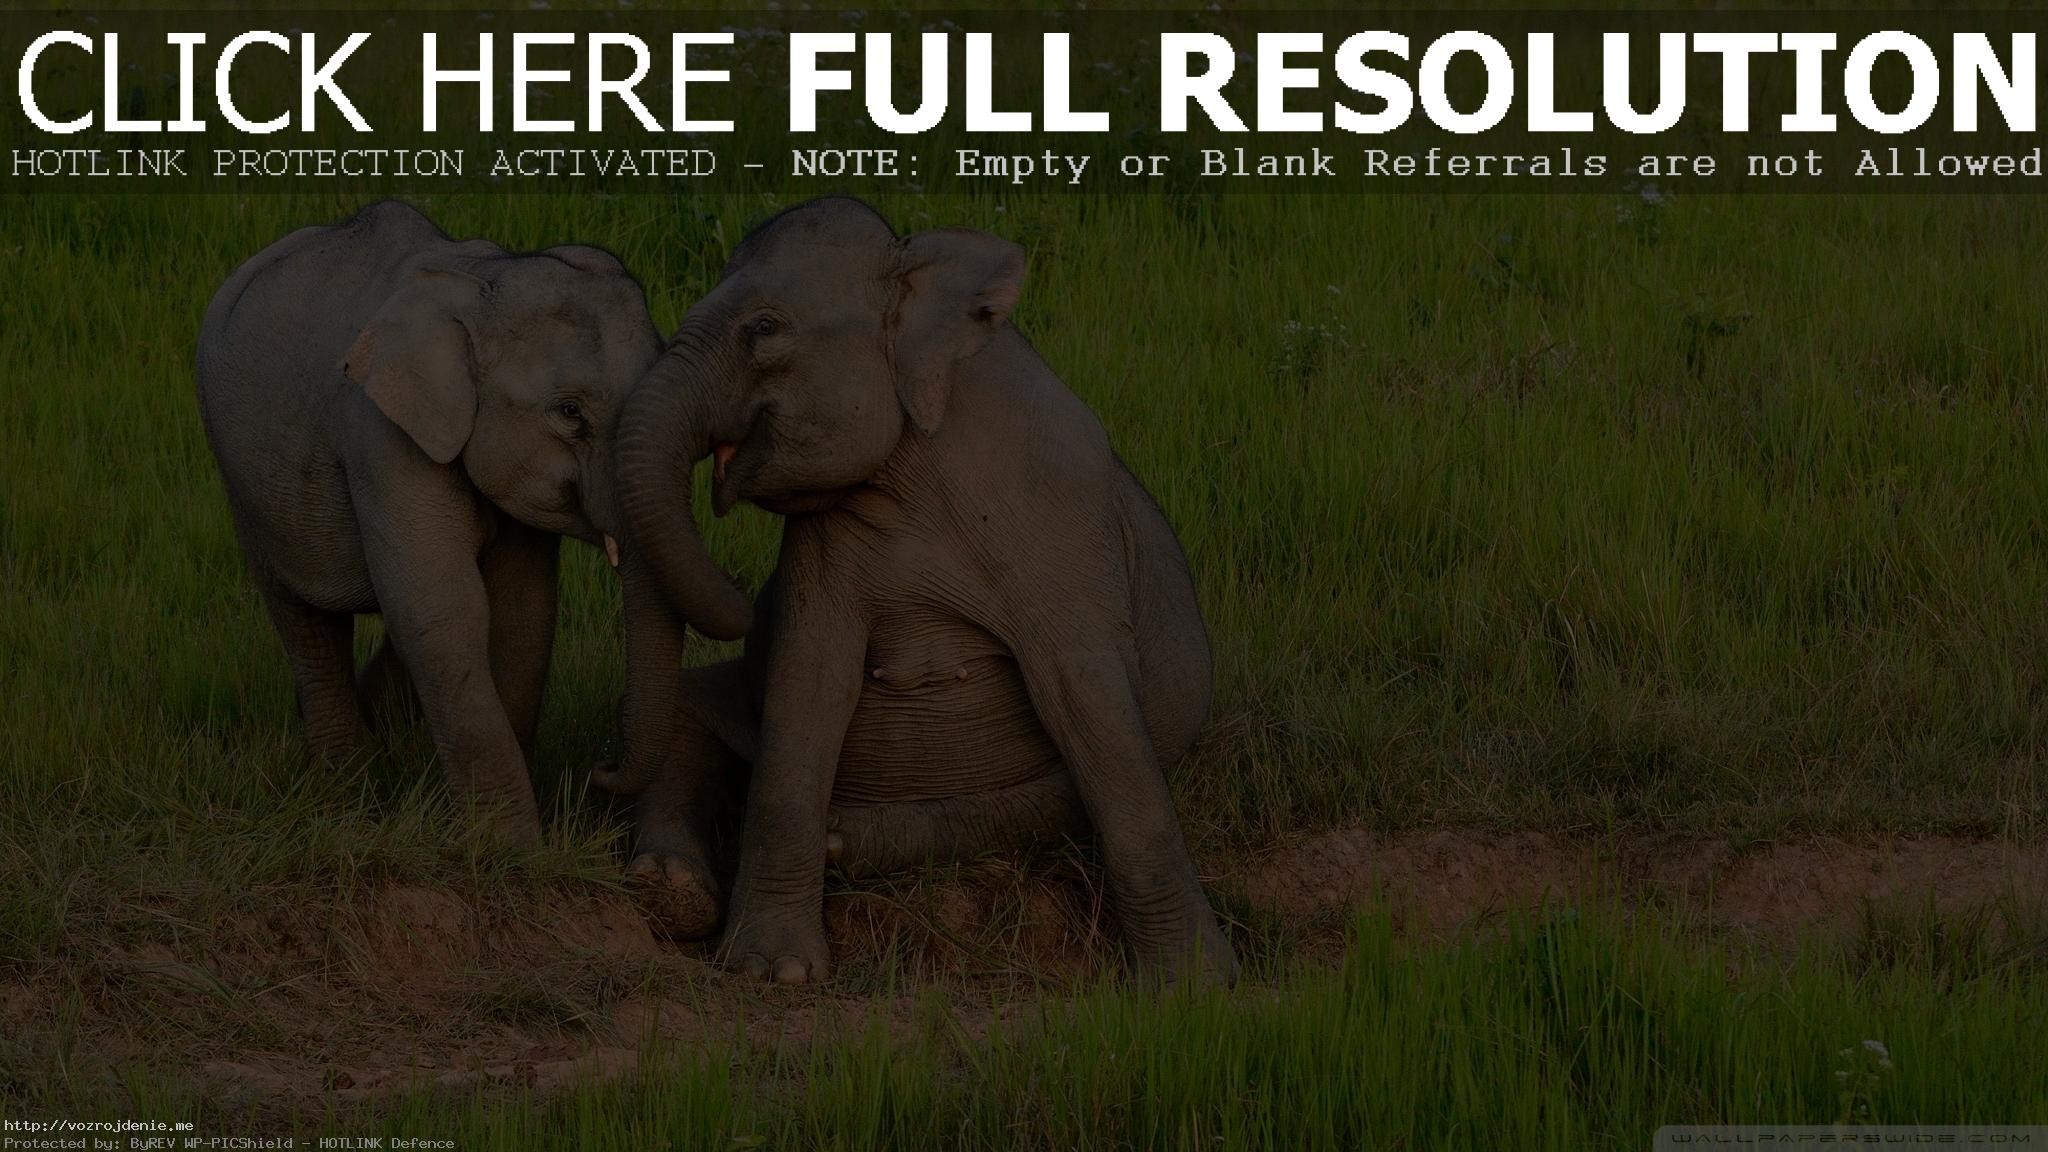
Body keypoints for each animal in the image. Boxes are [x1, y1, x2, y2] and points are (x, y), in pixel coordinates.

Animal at [197, 200, 749, 846]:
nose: (601, 765)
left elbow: (521, 611)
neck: (485, 286)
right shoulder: (380, 435)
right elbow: (445, 611)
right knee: (304, 617)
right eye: (569, 413)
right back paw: (345, 785)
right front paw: (513, 851)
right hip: (240, 478)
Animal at [599, 196, 1237, 985]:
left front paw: (1195, 985)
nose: (747, 600)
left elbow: (1093, 707)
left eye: (764, 329)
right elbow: (806, 689)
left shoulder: (1061, 516)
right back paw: (673, 888)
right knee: (688, 711)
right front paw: (772, 972)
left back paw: (841, 842)